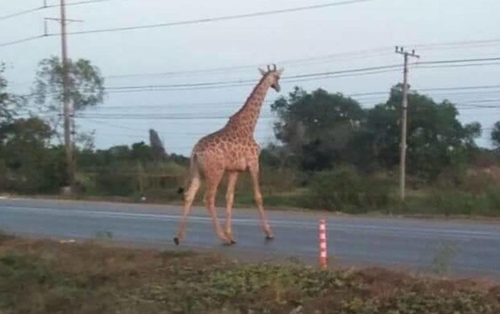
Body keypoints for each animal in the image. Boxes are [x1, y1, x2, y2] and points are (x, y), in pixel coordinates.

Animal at [173, 64, 284, 245]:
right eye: (277, 77)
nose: (278, 87)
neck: (249, 127)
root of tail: (195, 152)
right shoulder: (254, 163)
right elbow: (258, 196)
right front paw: (268, 233)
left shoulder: (234, 170)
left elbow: (229, 198)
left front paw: (231, 233)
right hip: (215, 172)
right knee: (208, 199)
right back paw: (222, 237)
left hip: (197, 172)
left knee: (189, 195)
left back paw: (178, 236)